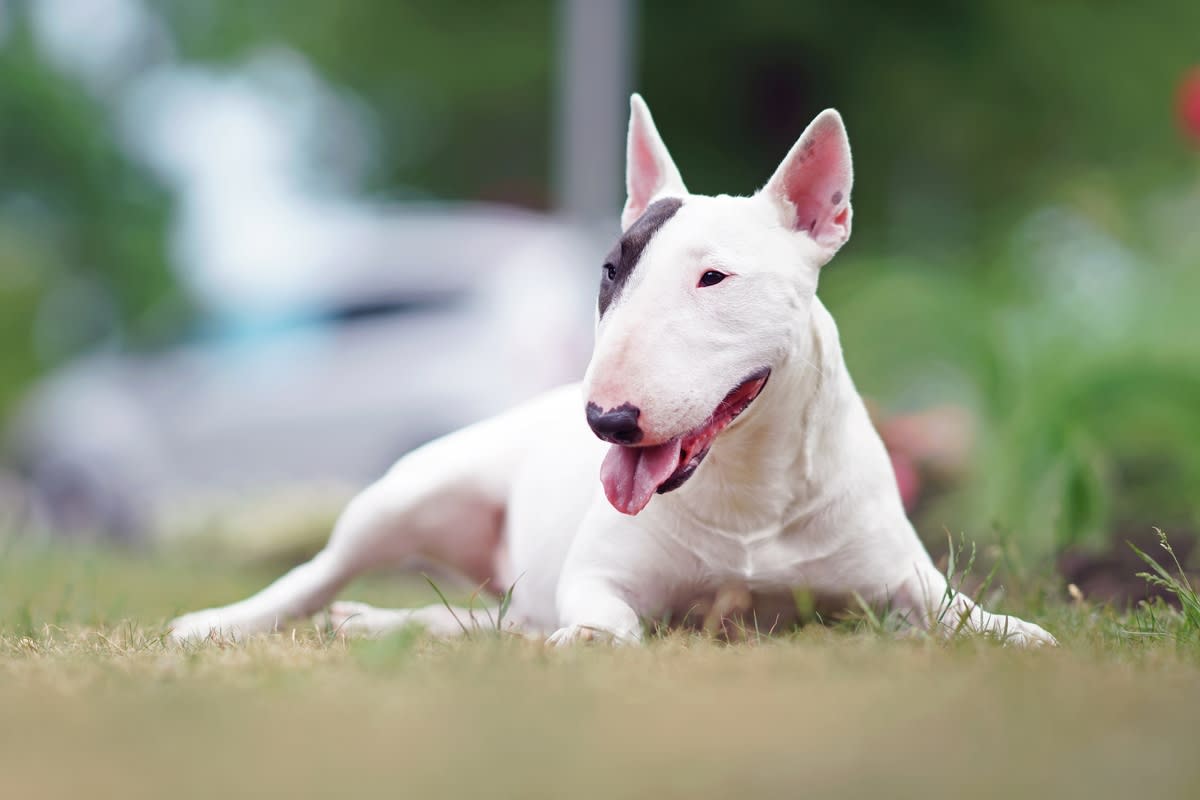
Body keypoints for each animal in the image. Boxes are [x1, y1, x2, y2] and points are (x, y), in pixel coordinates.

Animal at [166, 94, 1051, 647]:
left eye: (713, 278)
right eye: (610, 271)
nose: (607, 421)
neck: (750, 491)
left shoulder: (906, 580)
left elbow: (966, 615)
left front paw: (1021, 631)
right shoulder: (599, 575)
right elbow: (605, 620)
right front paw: (591, 637)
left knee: (499, 619)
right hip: (407, 492)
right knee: (318, 570)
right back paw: (225, 622)